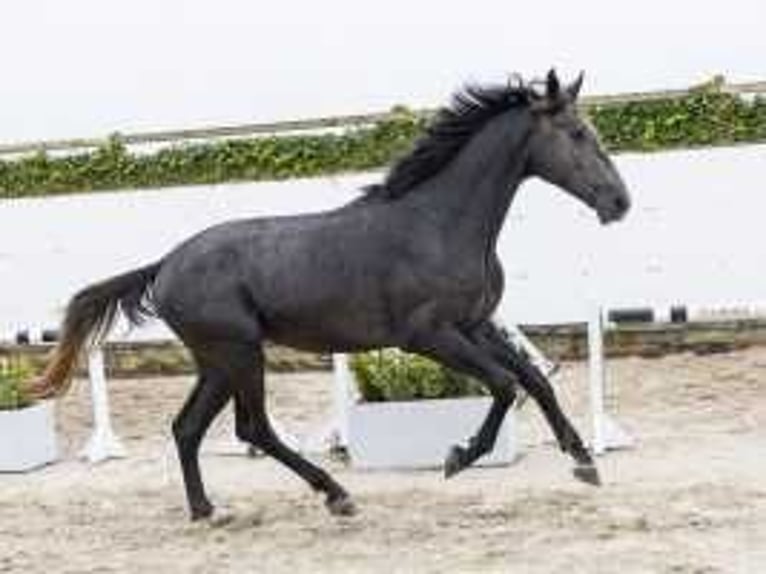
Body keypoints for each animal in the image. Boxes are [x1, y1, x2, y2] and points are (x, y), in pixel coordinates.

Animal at [31, 71, 632, 520]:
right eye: (576, 133)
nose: (619, 202)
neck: (439, 224)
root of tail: (163, 266)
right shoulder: (429, 336)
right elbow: (506, 385)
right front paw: (459, 457)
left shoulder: (476, 325)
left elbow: (535, 381)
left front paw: (584, 462)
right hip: (238, 353)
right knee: (251, 427)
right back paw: (336, 495)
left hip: (217, 361)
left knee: (188, 427)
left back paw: (207, 509)